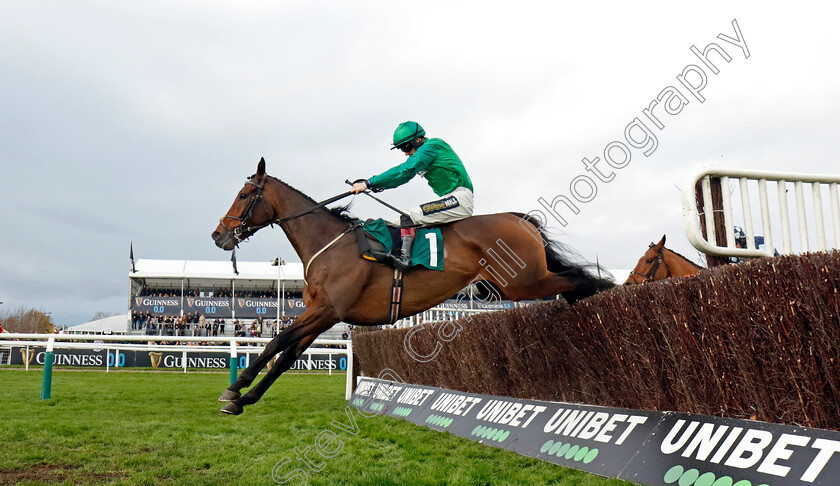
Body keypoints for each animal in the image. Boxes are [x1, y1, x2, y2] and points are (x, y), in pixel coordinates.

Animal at [213, 159, 612, 414]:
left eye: (244, 195)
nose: (219, 234)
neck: (330, 243)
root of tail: (519, 218)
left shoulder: (328, 310)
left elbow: (277, 341)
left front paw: (235, 386)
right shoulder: (321, 314)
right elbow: (285, 356)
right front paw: (244, 399)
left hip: (524, 282)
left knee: (582, 280)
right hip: (512, 285)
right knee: (577, 283)